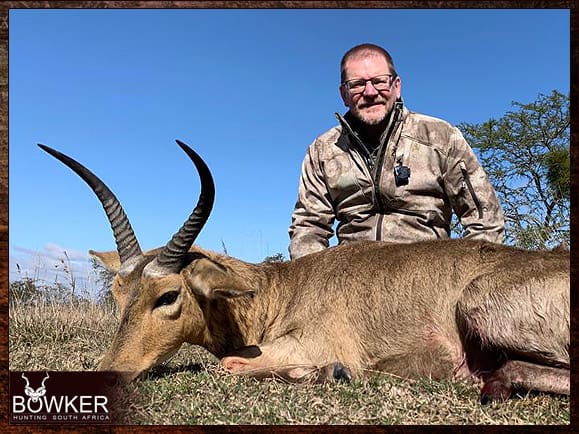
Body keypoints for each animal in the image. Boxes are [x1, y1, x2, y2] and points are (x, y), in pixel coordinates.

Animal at [37, 140, 572, 404]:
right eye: (118, 293)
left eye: (167, 295)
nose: (109, 372)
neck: (282, 288)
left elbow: (228, 364)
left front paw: (331, 372)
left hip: (480, 307)